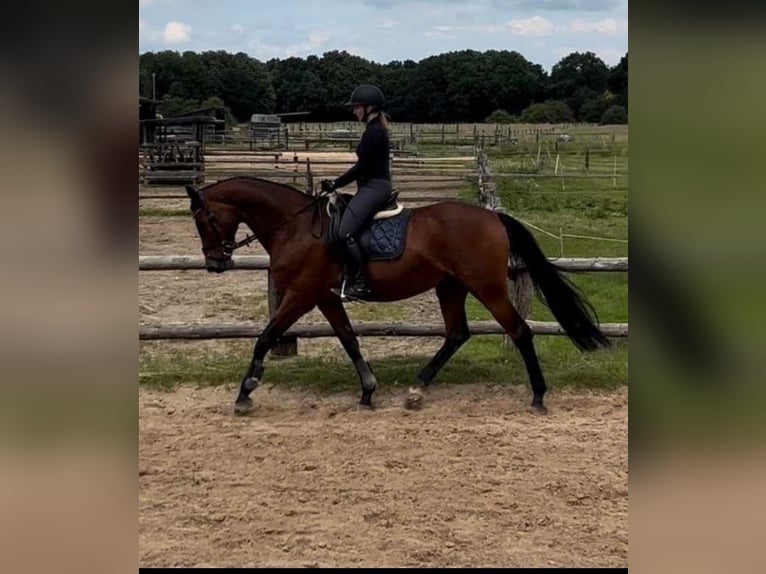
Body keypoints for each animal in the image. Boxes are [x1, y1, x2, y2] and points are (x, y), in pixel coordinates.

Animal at [184, 176, 611, 415]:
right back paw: (416, 391)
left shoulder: (302, 296)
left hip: (486, 286)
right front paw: (368, 392)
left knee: (520, 331)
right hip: (450, 286)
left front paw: (246, 392)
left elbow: (266, 337)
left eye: (204, 219)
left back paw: (537, 397)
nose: (215, 263)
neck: (298, 228)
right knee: (457, 334)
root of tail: (492, 216)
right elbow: (349, 339)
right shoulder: (326, 297)